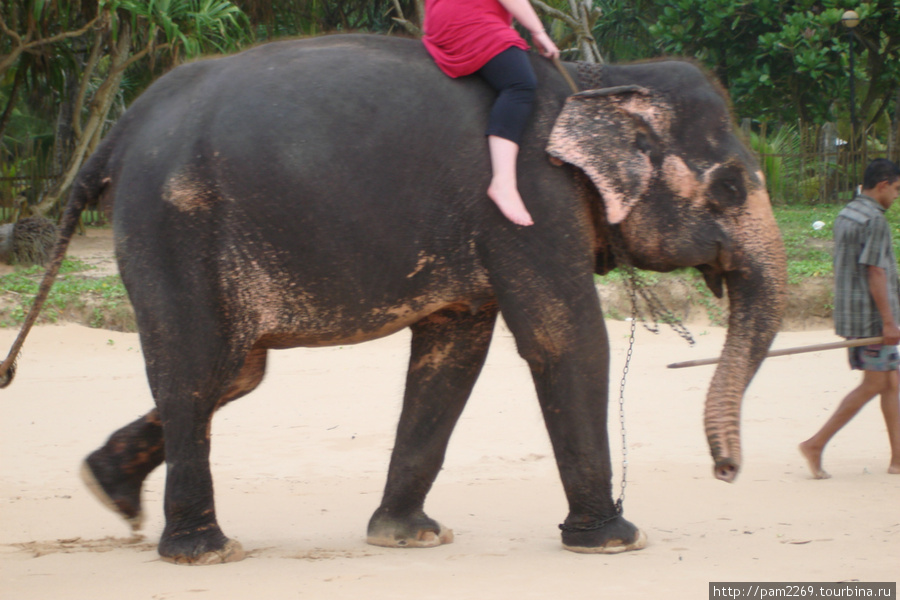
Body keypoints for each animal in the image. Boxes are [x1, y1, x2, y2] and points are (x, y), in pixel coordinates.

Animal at [0, 32, 788, 564]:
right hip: (172, 224)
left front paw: (408, 537)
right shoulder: (530, 199)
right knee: (197, 372)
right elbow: (564, 338)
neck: (597, 77)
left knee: (230, 372)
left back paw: (108, 487)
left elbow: (454, 353)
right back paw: (205, 550)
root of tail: (116, 135)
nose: (725, 471)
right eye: (729, 187)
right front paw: (616, 540)